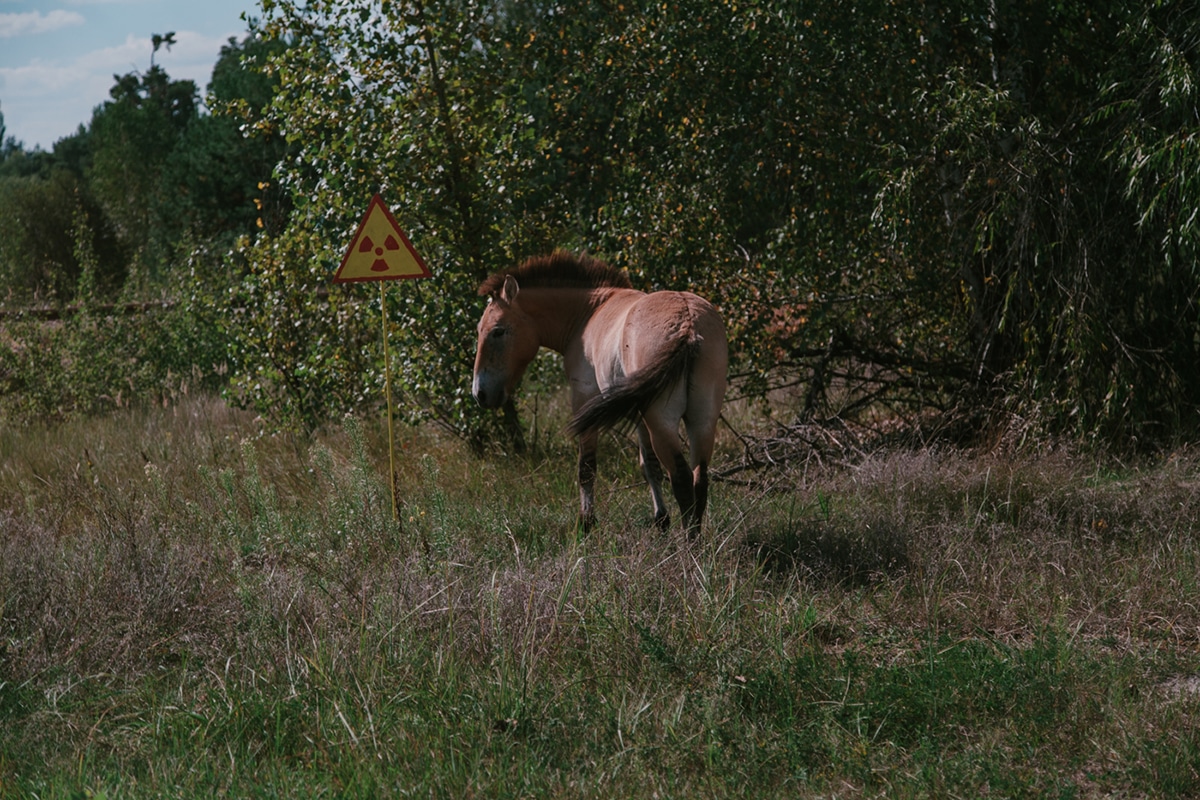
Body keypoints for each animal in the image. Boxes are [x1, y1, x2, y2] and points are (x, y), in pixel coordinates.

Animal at [472, 253, 724, 534]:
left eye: (498, 331)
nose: (480, 393)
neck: (589, 312)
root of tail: (688, 325)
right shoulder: (639, 414)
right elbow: (649, 465)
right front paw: (661, 520)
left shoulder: (585, 398)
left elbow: (587, 466)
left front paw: (586, 522)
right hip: (702, 420)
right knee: (699, 478)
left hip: (663, 422)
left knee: (681, 478)